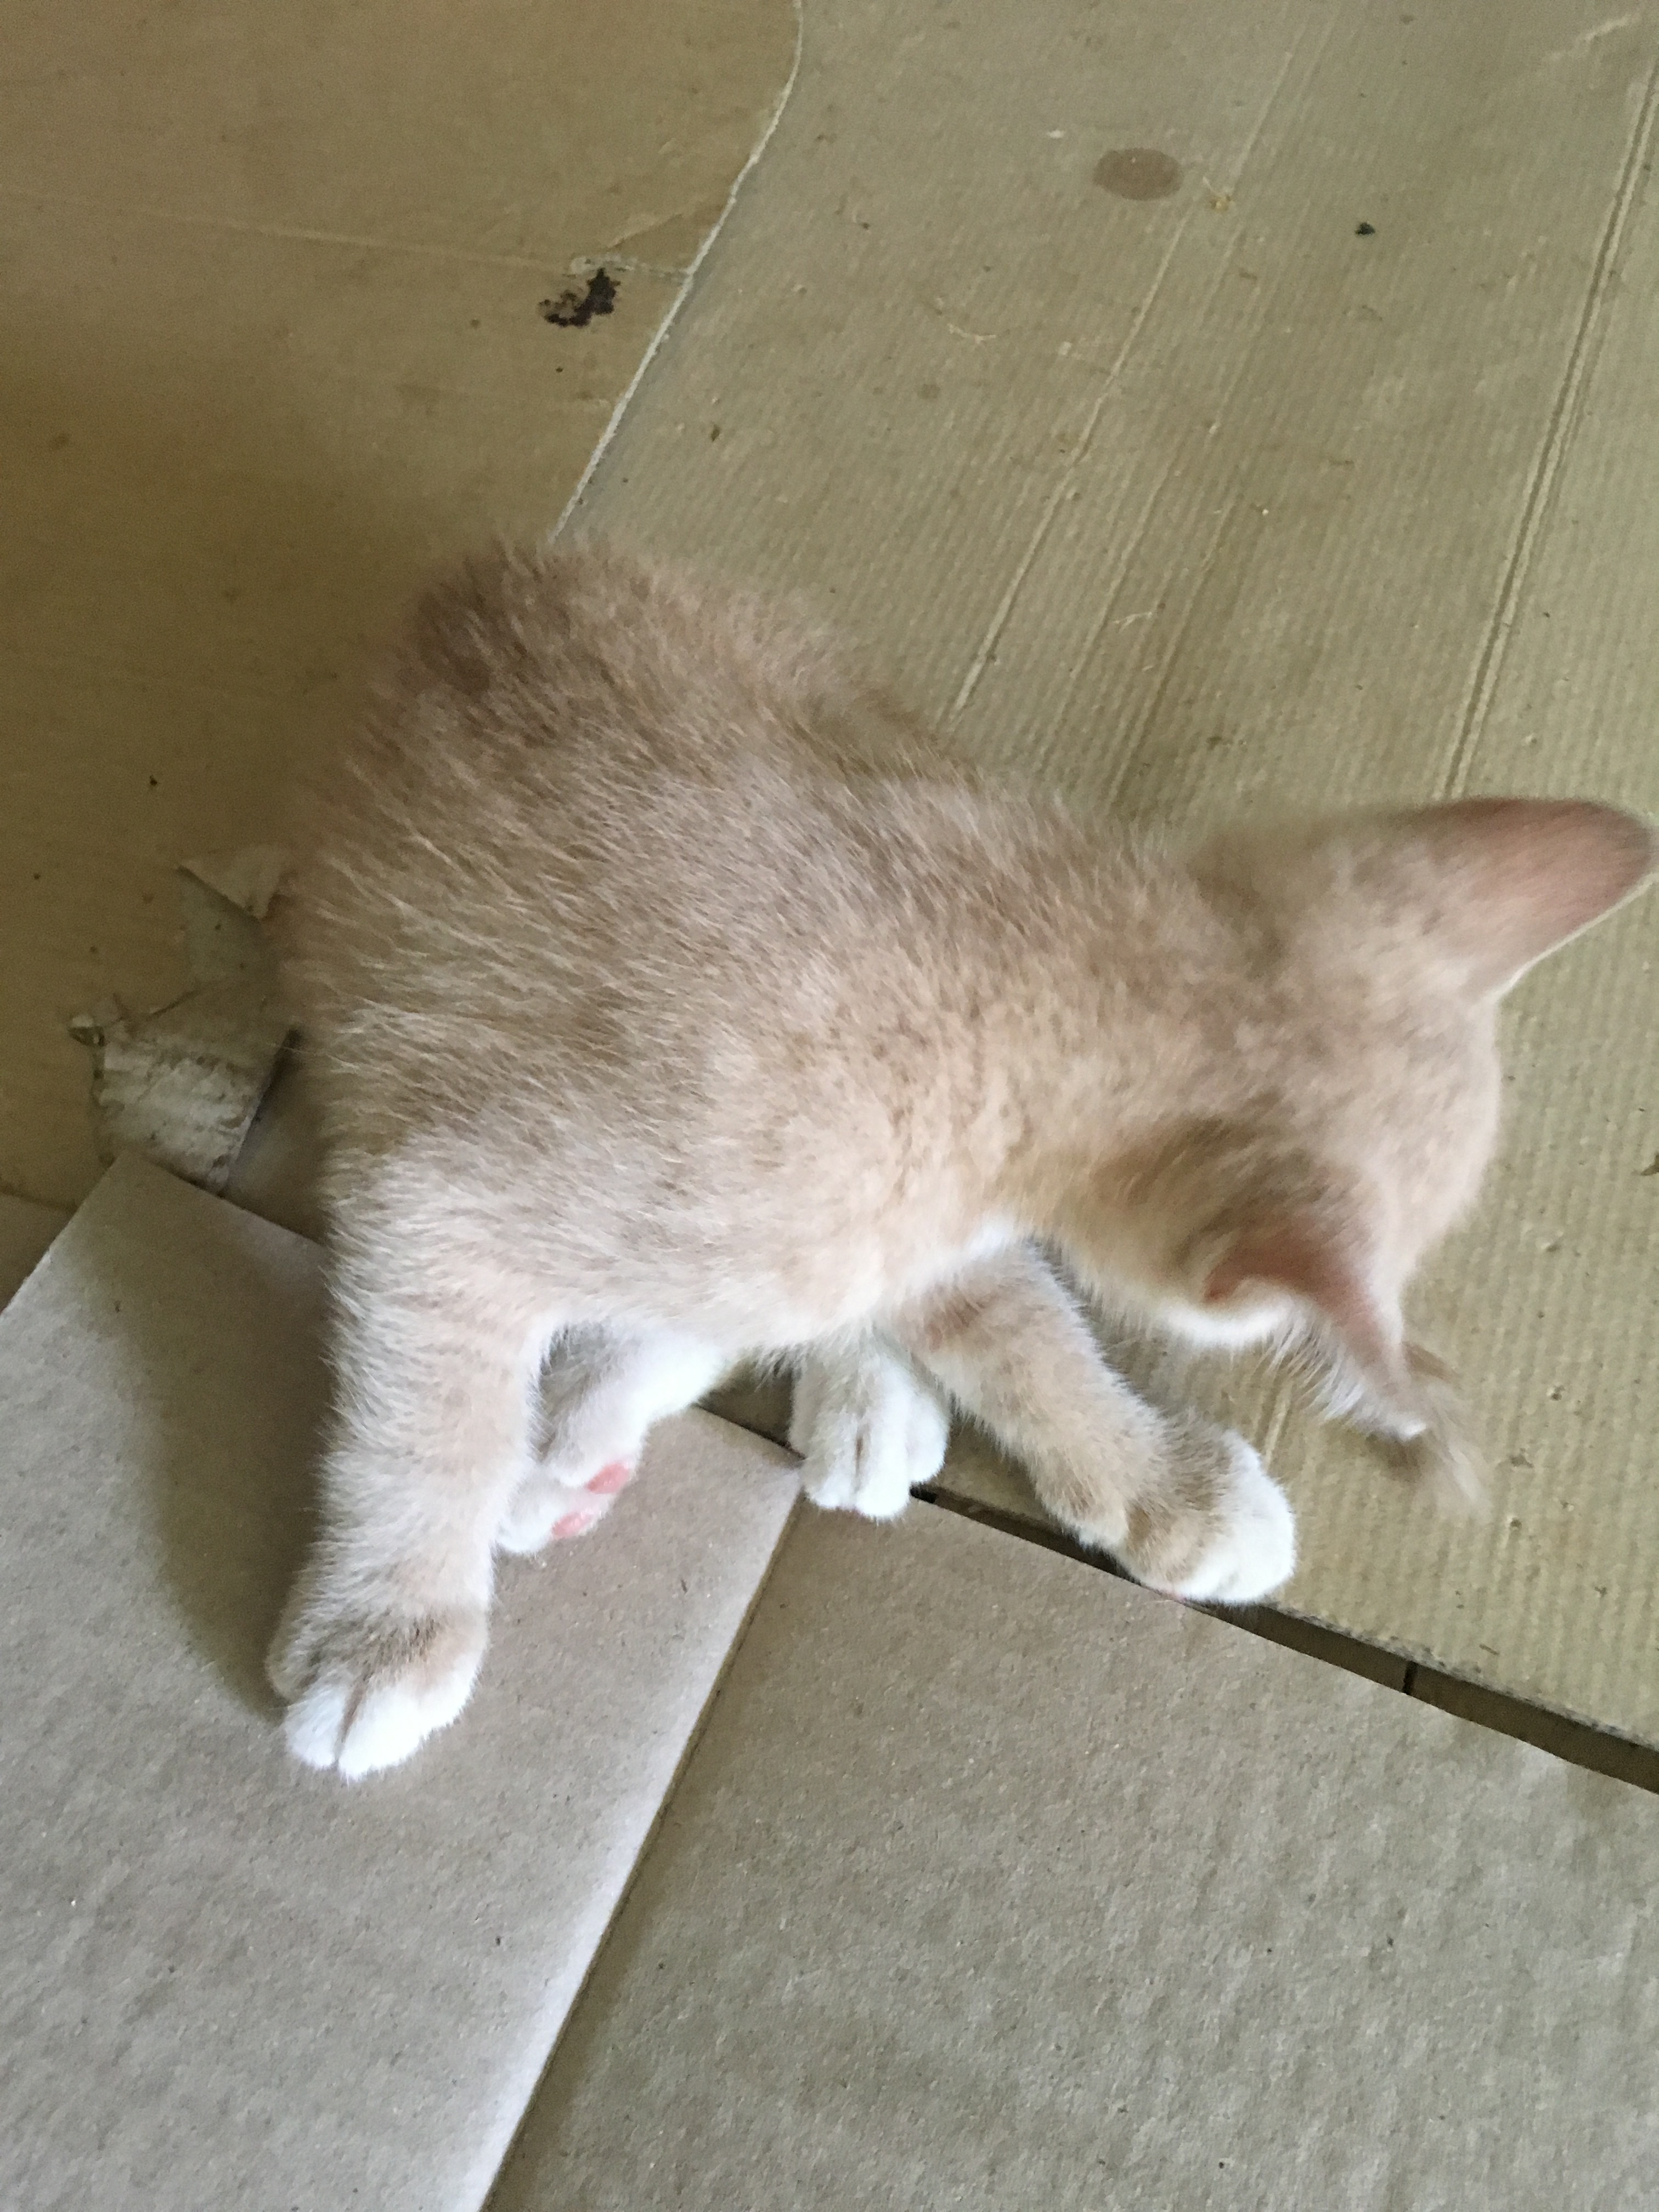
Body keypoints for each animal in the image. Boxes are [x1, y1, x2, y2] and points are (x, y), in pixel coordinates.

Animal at [266, 540, 1654, 1779]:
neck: (1025, 970)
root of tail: (487, 568)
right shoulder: (442, 1191)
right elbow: (431, 1422)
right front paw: (390, 1631)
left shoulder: (915, 1212)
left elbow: (1013, 1322)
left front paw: (1156, 1489)